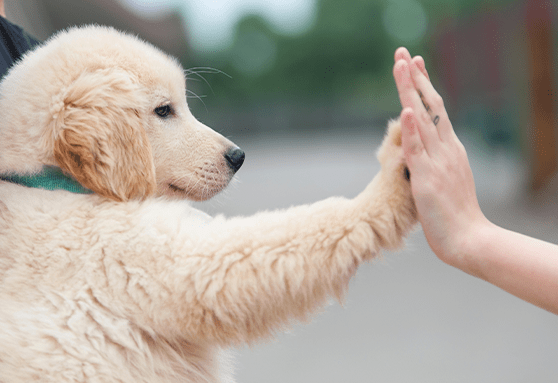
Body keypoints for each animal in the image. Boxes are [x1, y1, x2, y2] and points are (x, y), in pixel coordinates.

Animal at [0, 25, 418, 382]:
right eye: (164, 110)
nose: (238, 156)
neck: (54, 181)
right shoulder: (143, 260)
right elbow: (281, 239)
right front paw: (393, 178)